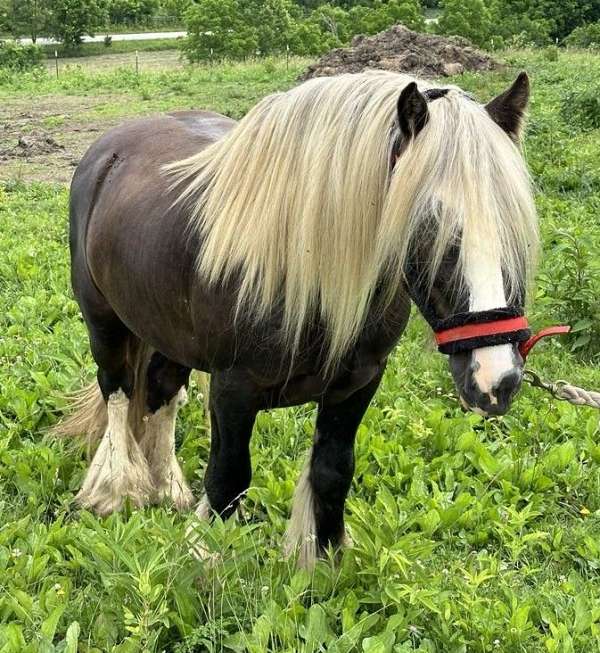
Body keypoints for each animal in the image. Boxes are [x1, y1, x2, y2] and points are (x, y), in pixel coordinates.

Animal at [58, 70, 540, 564]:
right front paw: (205, 562)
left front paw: (323, 564)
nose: (497, 380)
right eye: (427, 224)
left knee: (161, 391)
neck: (303, 267)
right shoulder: (233, 391)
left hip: (169, 331)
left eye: (515, 225)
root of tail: (109, 148)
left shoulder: (358, 385)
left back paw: (168, 488)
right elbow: (228, 480)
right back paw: (116, 490)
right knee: (118, 392)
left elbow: (332, 472)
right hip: (105, 324)